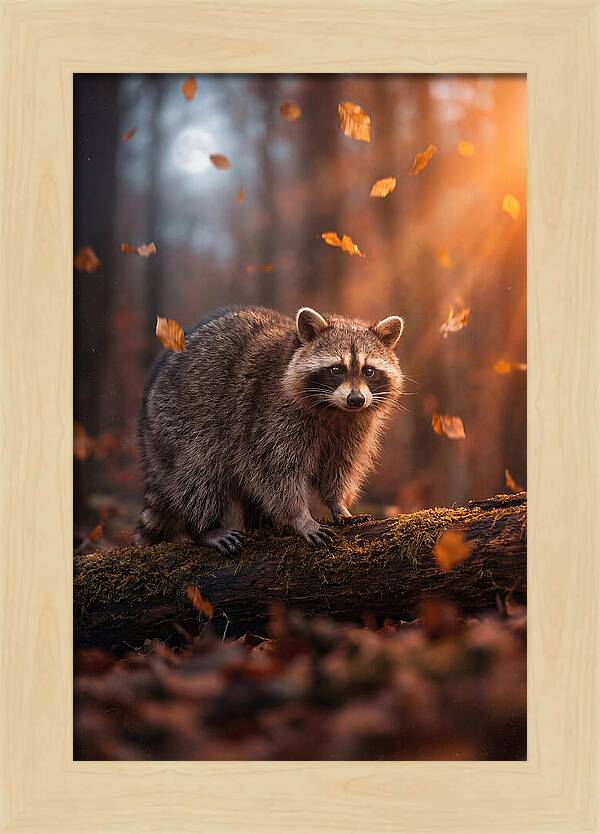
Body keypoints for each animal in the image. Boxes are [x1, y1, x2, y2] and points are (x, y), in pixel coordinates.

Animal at [135, 305, 405, 554]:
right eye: (336, 369)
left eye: (369, 371)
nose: (356, 399)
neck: (335, 409)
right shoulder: (269, 416)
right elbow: (276, 471)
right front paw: (300, 517)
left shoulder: (353, 428)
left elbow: (340, 467)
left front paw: (338, 504)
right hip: (179, 422)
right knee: (199, 473)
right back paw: (205, 527)